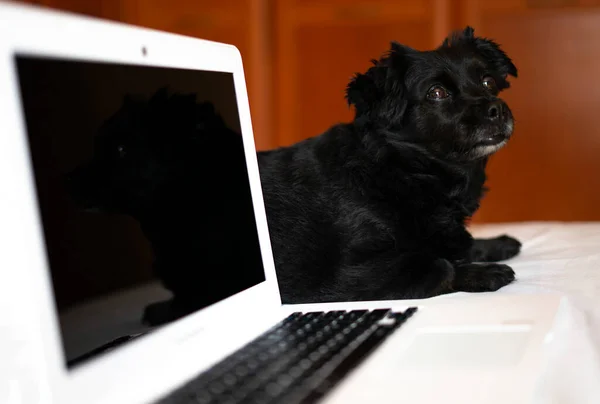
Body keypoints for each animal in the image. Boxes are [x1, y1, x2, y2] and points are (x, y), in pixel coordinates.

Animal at [262, 26, 520, 304]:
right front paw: (485, 272)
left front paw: (496, 243)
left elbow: (458, 244)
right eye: (436, 93)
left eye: (488, 82)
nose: (498, 109)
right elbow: (440, 265)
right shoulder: (351, 276)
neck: (405, 170)